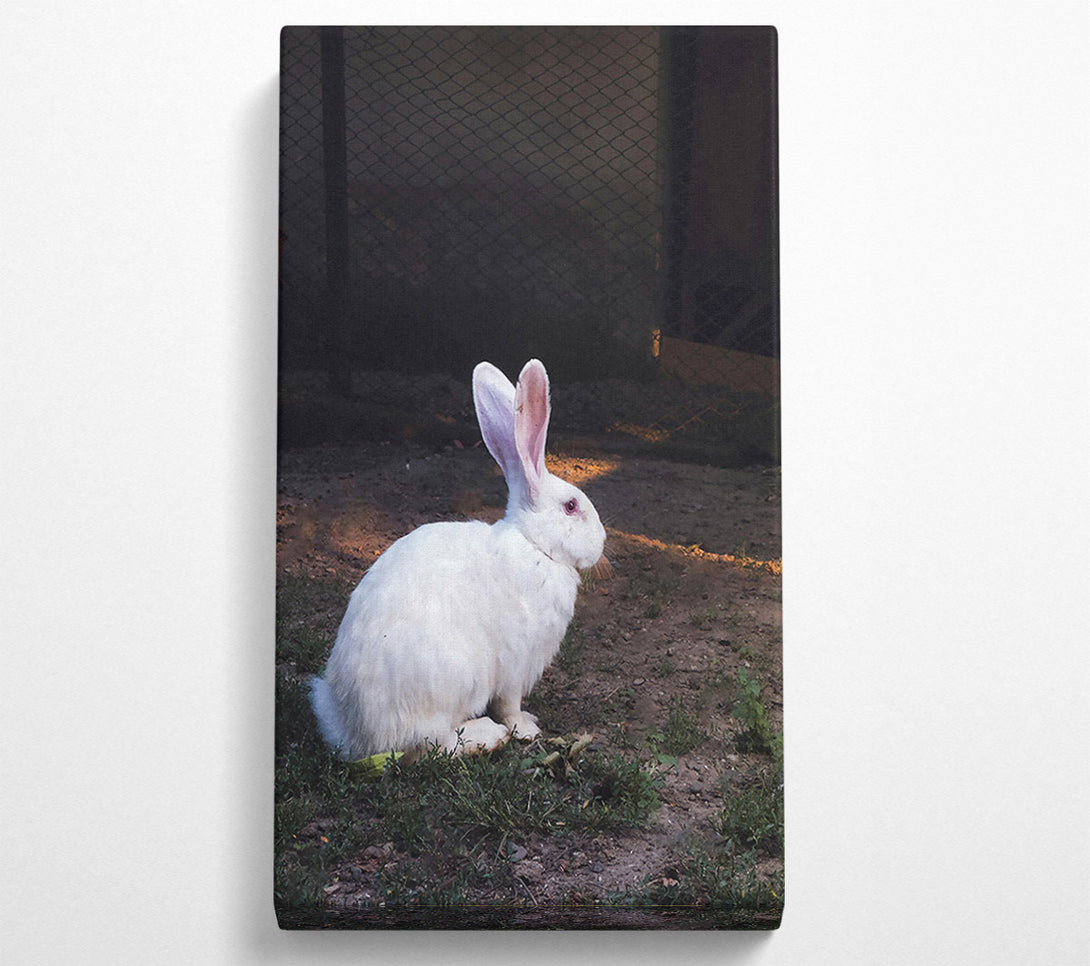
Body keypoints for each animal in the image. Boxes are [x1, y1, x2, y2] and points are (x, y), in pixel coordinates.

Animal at [309, 359, 607, 761]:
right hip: (454, 679)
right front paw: (526, 728)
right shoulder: (515, 665)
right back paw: (488, 736)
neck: (533, 544)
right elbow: (509, 704)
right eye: (572, 506)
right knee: (434, 743)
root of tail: (358, 736)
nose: (602, 542)